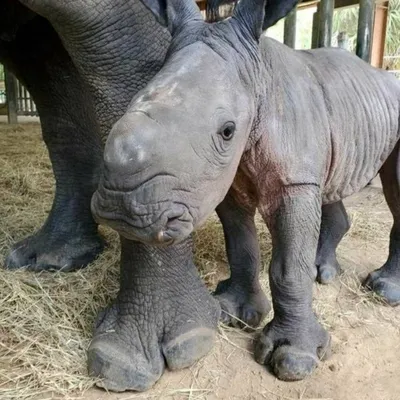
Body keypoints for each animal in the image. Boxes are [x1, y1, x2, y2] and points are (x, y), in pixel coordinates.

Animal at [92, 0, 400, 382]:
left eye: (227, 131)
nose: (122, 210)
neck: (258, 78)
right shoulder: (228, 181)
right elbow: (240, 246)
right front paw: (235, 312)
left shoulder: (293, 181)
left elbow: (288, 268)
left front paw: (294, 359)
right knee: (331, 184)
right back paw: (324, 272)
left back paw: (383, 290)